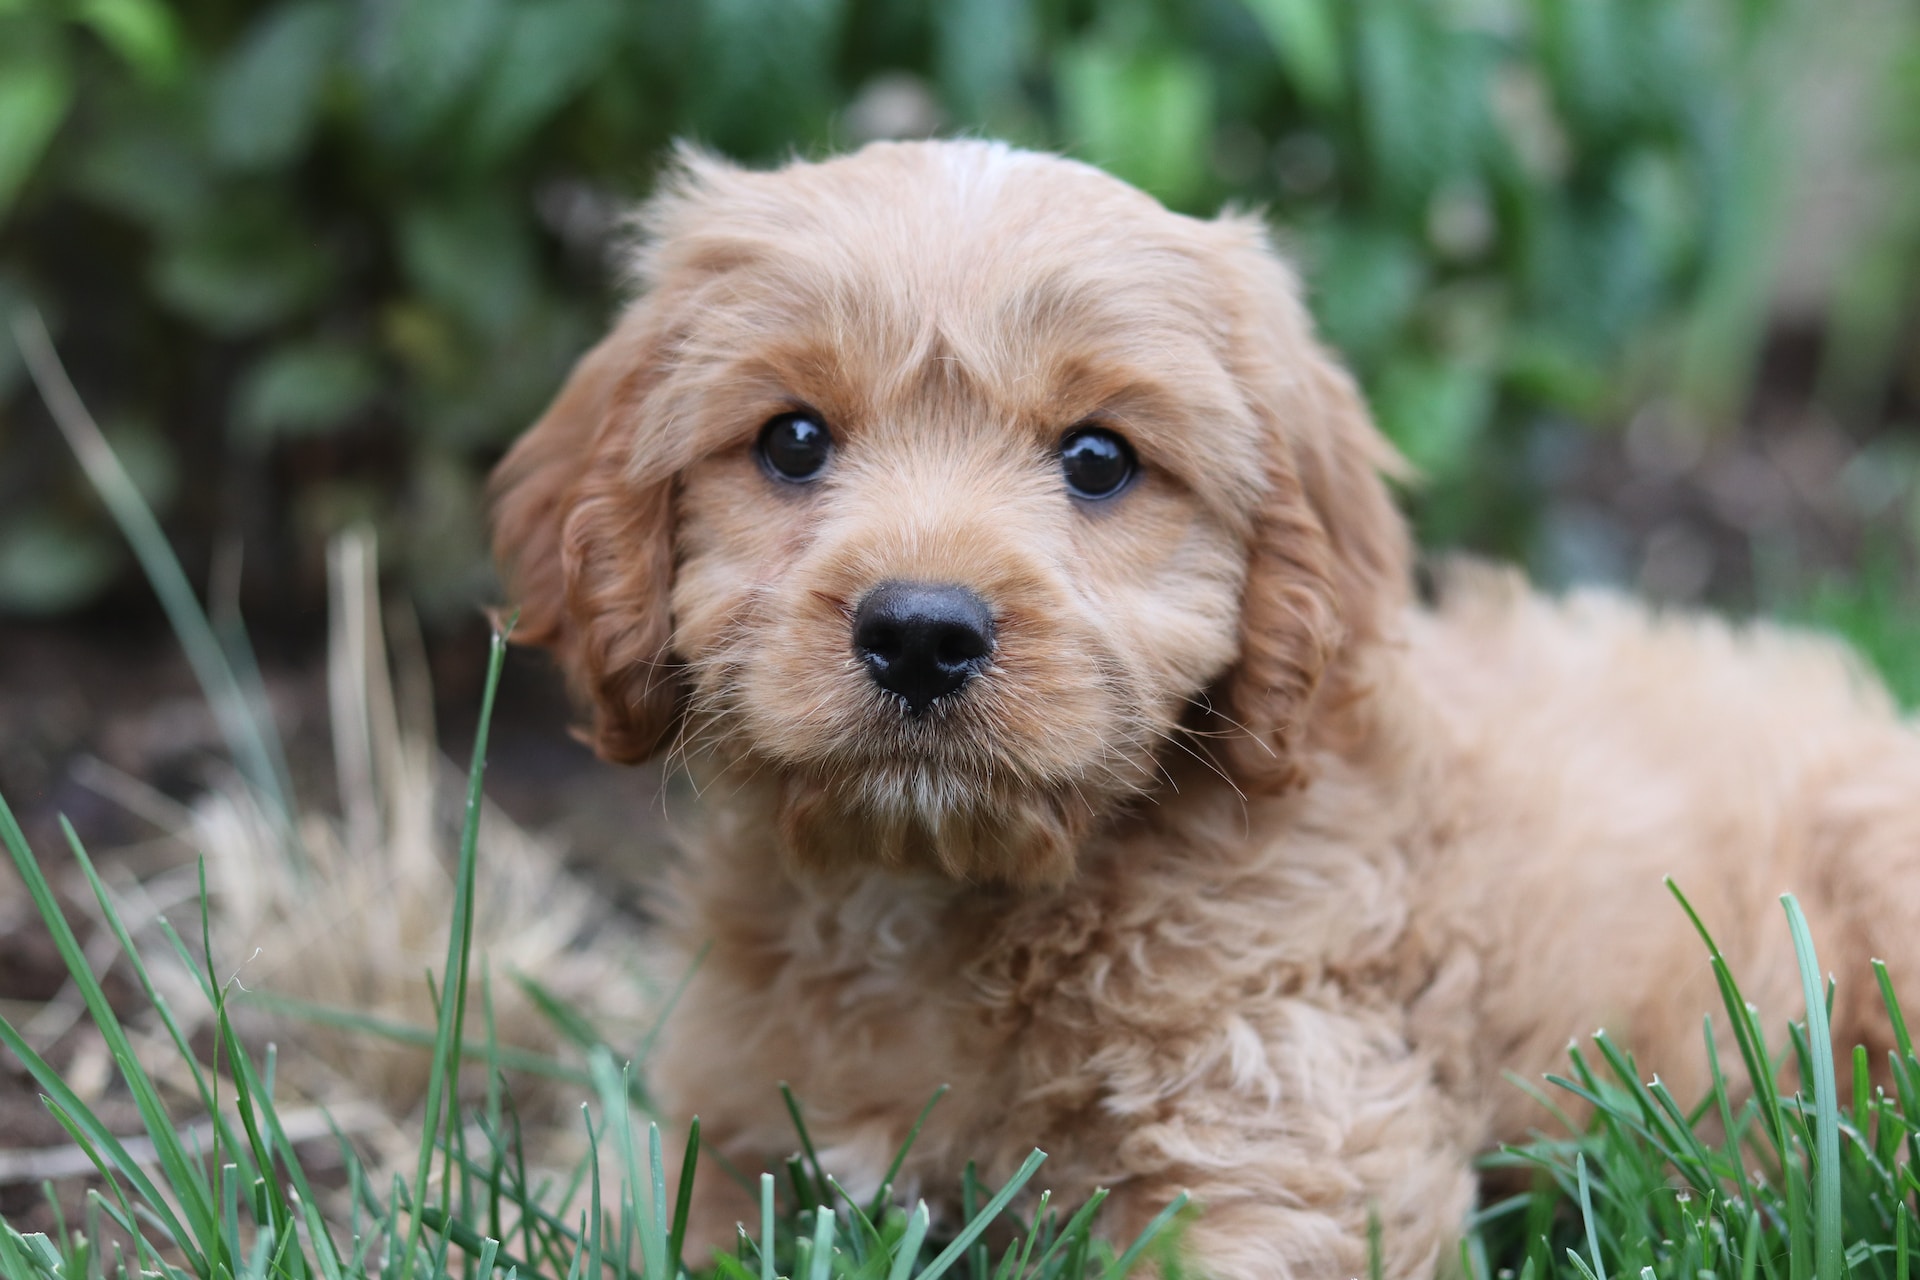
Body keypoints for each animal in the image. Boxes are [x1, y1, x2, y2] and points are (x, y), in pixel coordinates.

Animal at [487, 140, 1920, 1280]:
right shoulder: (711, 1122)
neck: (945, 895)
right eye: (790, 441)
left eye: (1099, 459)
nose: (921, 632)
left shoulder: (1286, 1124)